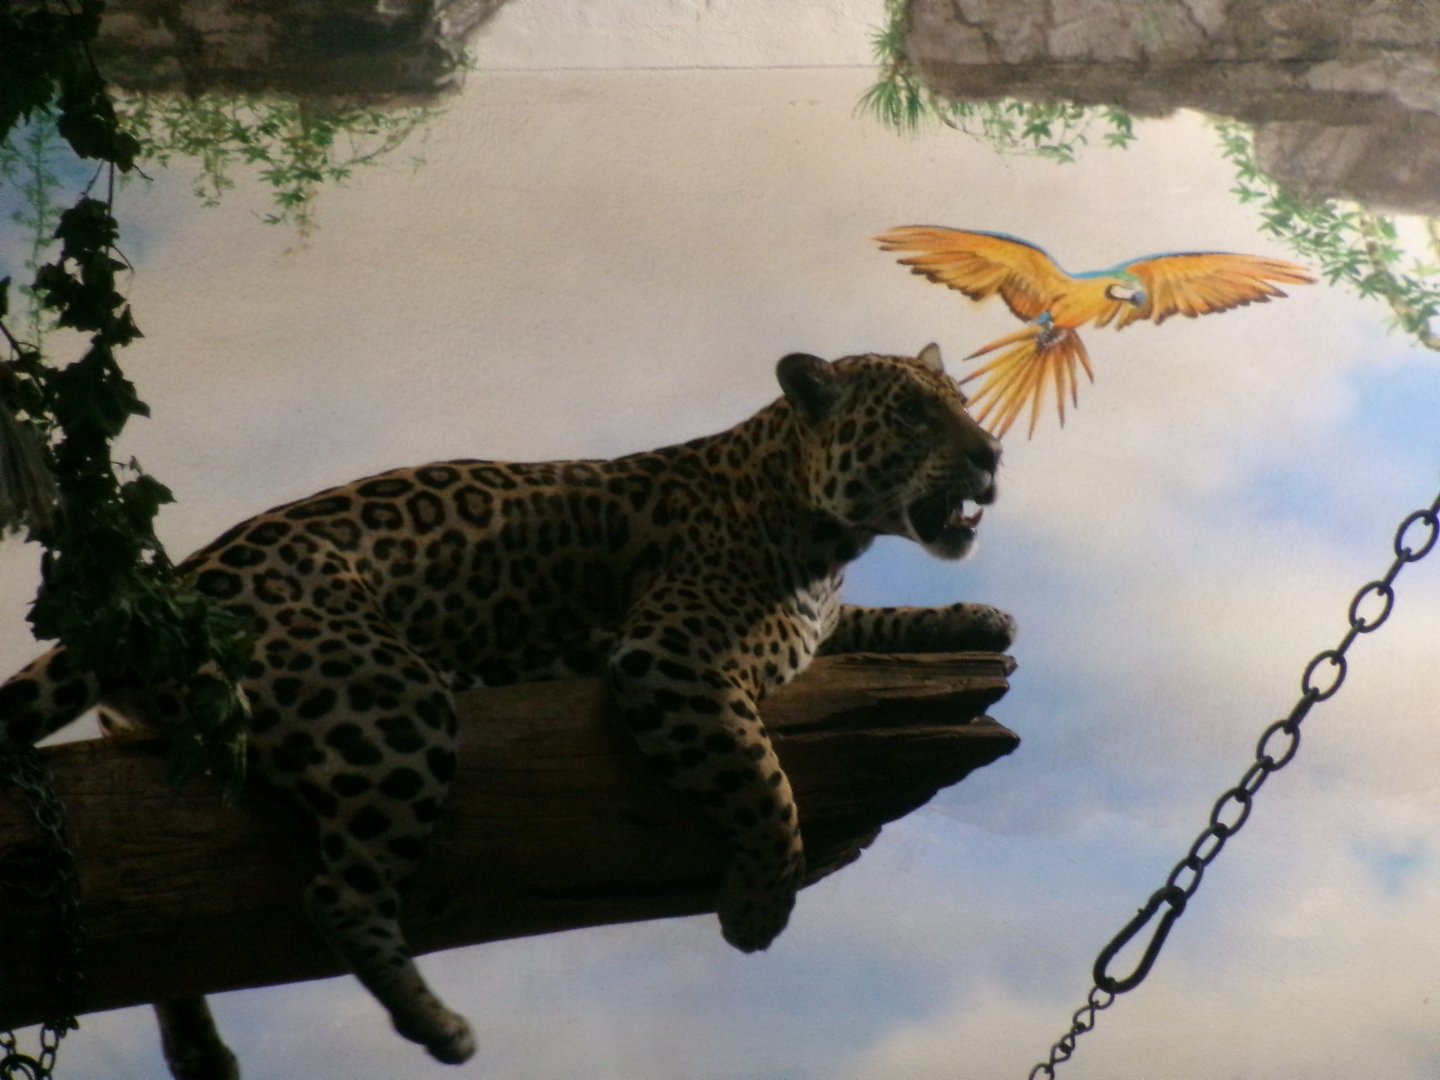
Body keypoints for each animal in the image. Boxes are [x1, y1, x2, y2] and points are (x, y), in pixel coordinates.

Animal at [0, 344, 1014, 1068]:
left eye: (962, 402)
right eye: (916, 414)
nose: (992, 452)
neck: (823, 530)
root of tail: (160, 594)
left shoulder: (813, 624)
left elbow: (879, 621)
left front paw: (979, 617)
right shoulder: (673, 657)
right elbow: (767, 788)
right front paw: (759, 909)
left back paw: (205, 1052)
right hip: (392, 705)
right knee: (336, 892)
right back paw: (439, 1026)